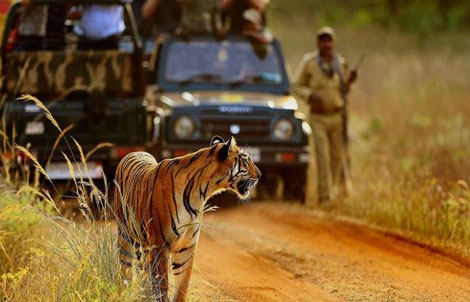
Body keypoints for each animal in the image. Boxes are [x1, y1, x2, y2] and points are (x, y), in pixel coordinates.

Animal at [113, 136, 260, 300]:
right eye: (246, 160)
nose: (259, 175)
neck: (201, 193)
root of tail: (133, 152)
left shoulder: (186, 246)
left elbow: (182, 285)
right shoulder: (160, 245)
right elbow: (162, 283)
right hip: (125, 235)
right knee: (125, 268)